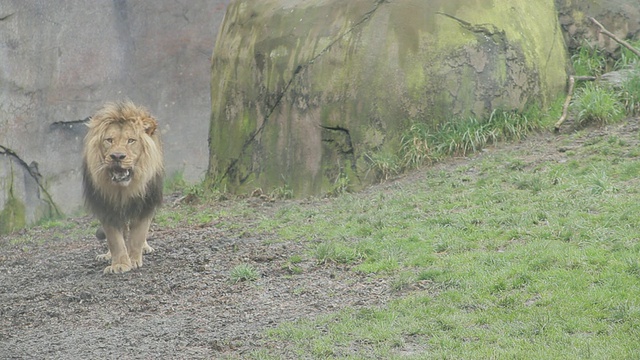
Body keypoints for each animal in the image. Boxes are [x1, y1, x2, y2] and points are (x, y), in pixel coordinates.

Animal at [81, 102, 165, 274]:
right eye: (109, 140)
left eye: (131, 140)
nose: (117, 156)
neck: (124, 189)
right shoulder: (106, 207)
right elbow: (114, 240)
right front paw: (119, 264)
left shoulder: (146, 203)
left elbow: (138, 235)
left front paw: (133, 260)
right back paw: (107, 255)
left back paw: (145, 248)